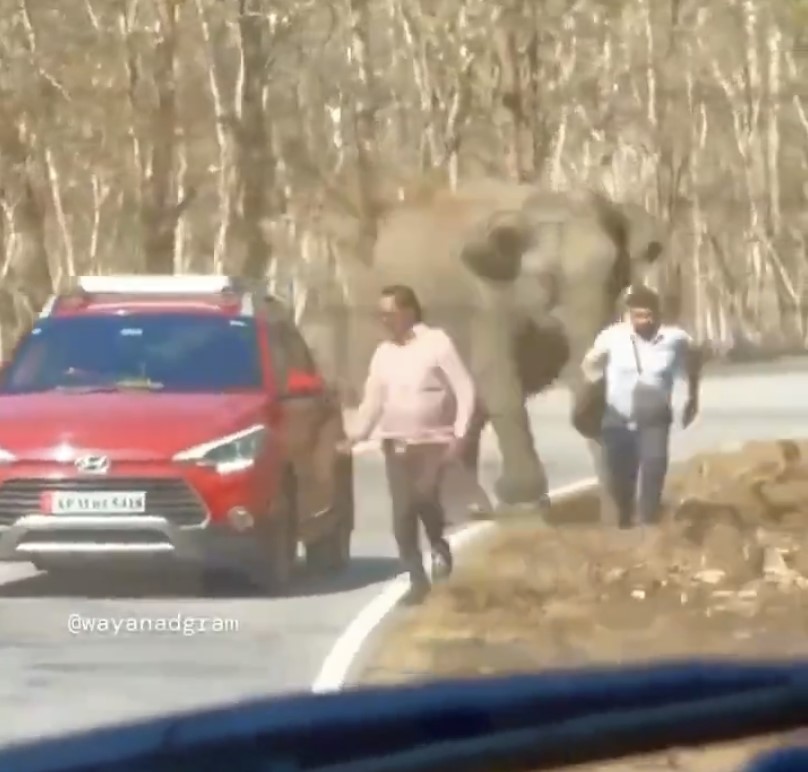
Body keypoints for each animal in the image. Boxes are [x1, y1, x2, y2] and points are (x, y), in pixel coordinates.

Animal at [316, 180, 664, 516]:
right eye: (548, 279)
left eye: (617, 275)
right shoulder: (484, 302)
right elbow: (499, 383)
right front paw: (524, 503)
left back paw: (469, 509)